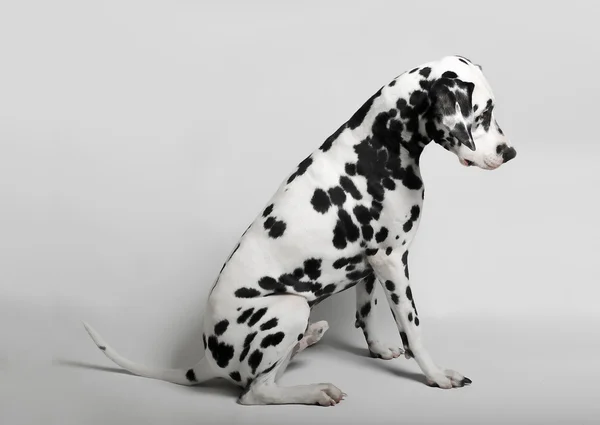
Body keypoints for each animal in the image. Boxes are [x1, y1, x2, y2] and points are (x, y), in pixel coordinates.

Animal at [83, 54, 516, 406]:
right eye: (483, 113)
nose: (510, 153)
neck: (378, 144)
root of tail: (207, 359)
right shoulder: (392, 261)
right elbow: (413, 328)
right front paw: (437, 375)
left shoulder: (372, 266)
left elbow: (366, 314)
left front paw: (378, 350)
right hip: (290, 308)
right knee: (255, 392)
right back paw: (316, 391)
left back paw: (312, 339)